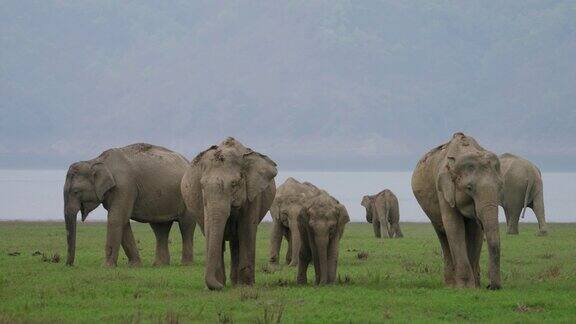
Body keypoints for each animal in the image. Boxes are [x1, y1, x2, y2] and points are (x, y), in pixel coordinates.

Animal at [63, 143, 196, 268]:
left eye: (75, 191)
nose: (71, 265)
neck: (96, 160)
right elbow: (123, 222)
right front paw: (135, 266)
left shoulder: (124, 186)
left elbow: (116, 219)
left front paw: (106, 267)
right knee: (160, 228)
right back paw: (160, 265)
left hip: (188, 196)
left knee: (186, 226)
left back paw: (186, 264)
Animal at [181, 138, 278, 290]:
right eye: (202, 185)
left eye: (234, 184)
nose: (219, 286)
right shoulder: (204, 202)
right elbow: (211, 231)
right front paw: (218, 285)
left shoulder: (253, 194)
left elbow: (246, 230)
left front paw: (246, 286)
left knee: (237, 240)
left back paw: (236, 284)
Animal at [412, 133, 502, 290]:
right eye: (469, 188)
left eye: (500, 186)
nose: (490, 286)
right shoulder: (443, 189)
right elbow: (454, 227)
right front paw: (465, 287)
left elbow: (475, 231)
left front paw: (475, 287)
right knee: (442, 234)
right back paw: (450, 285)